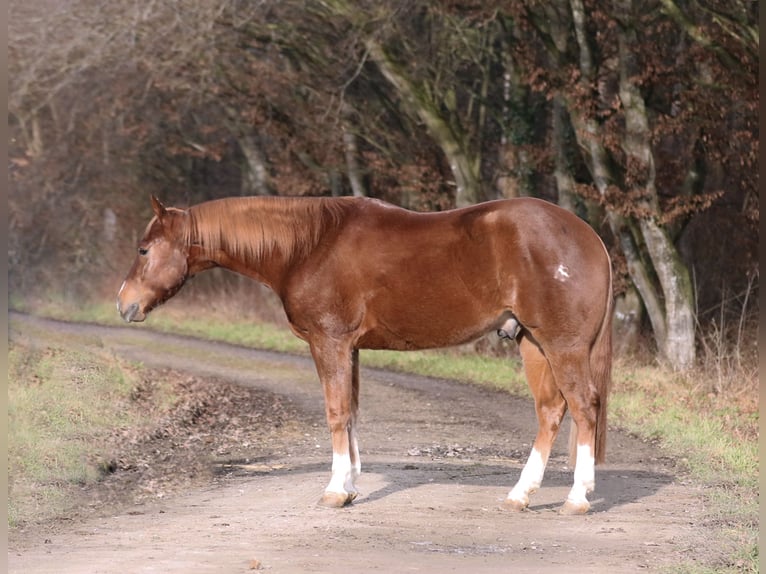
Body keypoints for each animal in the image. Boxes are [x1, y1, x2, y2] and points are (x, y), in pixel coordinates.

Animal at [117, 196, 616, 516]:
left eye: (144, 249)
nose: (124, 304)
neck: (310, 245)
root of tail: (591, 237)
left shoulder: (330, 342)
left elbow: (337, 412)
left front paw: (336, 490)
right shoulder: (349, 348)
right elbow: (352, 411)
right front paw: (352, 484)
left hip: (562, 345)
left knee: (584, 407)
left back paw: (576, 498)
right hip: (533, 343)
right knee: (551, 412)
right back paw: (520, 495)